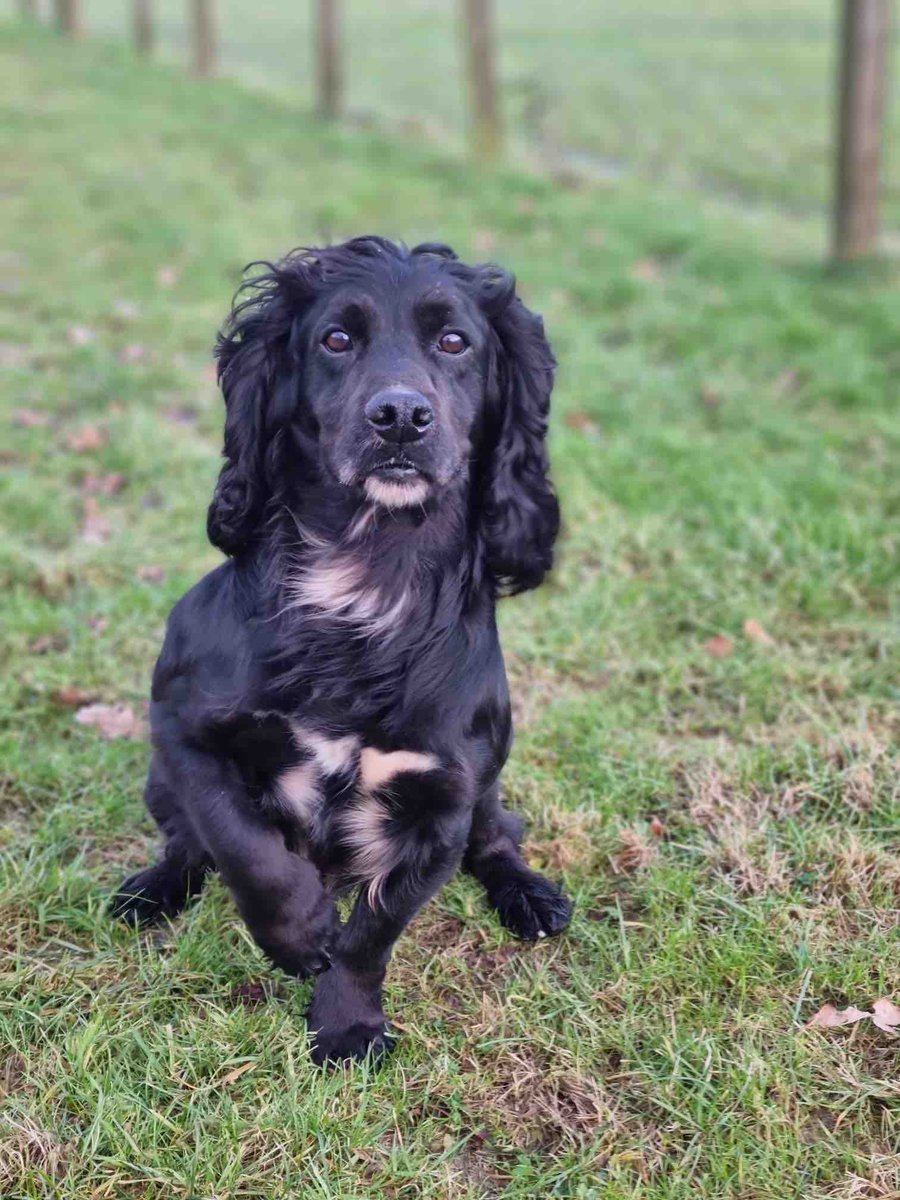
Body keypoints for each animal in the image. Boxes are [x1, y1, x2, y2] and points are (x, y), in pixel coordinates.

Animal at [112, 238, 573, 1065]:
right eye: (335, 339)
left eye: (454, 341)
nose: (399, 416)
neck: (366, 579)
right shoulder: (185, 733)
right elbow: (245, 849)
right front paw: (298, 935)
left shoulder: (442, 803)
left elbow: (377, 930)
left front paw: (347, 1022)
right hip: (159, 782)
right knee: (186, 845)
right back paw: (155, 890)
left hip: (488, 789)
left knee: (497, 839)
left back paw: (530, 895)